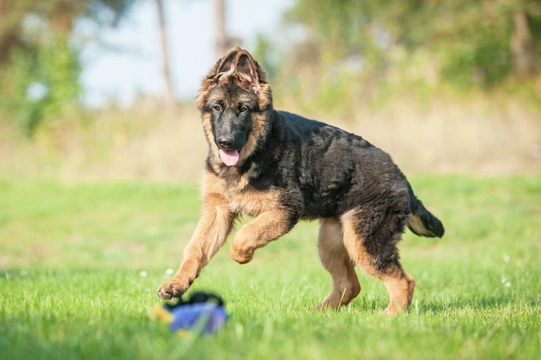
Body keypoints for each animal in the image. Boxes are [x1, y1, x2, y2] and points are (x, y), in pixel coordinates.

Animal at [157, 48, 442, 316]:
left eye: (243, 109)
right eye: (217, 107)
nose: (225, 143)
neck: (258, 149)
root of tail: (403, 181)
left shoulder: (285, 210)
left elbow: (245, 234)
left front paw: (241, 255)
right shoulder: (218, 210)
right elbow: (195, 249)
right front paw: (177, 284)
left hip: (364, 241)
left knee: (403, 281)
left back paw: (388, 316)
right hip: (332, 241)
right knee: (350, 285)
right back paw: (319, 313)